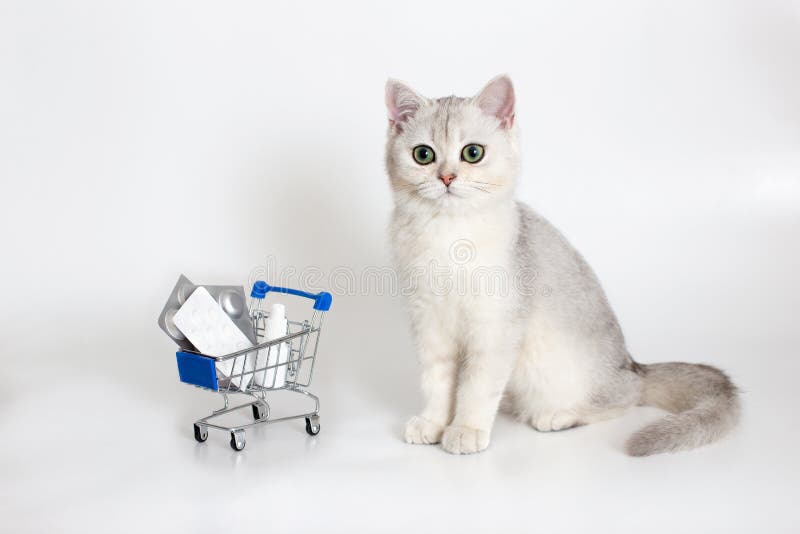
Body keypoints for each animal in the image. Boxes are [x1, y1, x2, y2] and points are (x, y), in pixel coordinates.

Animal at [384, 77, 740, 458]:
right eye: (423, 155)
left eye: (472, 153)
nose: (447, 177)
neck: (447, 236)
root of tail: (633, 366)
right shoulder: (429, 323)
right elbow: (437, 383)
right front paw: (433, 423)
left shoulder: (495, 327)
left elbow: (476, 387)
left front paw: (465, 429)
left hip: (555, 373)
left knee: (623, 400)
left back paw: (559, 416)